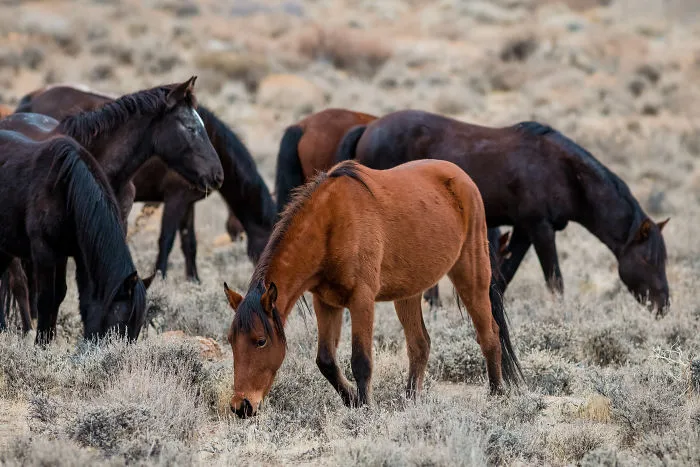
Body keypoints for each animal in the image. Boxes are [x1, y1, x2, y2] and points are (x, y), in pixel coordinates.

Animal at [0, 135, 146, 342]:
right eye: (122, 320)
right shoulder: (43, 251)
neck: (66, 189)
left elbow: (76, 300)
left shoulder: (75, 255)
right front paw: (41, 343)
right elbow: (45, 299)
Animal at [13, 82, 273, 281]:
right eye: (190, 129)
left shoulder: (188, 203)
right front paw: (161, 277)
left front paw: (194, 280)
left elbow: (189, 244)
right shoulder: (176, 198)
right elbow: (167, 240)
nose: (217, 175)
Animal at [222, 159, 522, 418]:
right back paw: (411, 401)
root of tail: (462, 178)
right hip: (408, 294)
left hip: (471, 273)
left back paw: (496, 394)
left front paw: (365, 409)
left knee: (489, 335)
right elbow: (326, 361)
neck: (331, 223)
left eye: (261, 341)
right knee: (420, 345)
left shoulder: (362, 300)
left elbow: (361, 361)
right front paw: (352, 400)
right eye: (230, 340)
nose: (242, 406)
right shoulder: (326, 303)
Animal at [336, 110, 670, 314]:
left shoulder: (524, 230)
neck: (561, 170)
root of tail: (368, 128)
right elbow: (555, 280)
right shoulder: (540, 228)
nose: (663, 305)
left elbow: (506, 275)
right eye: (647, 259)